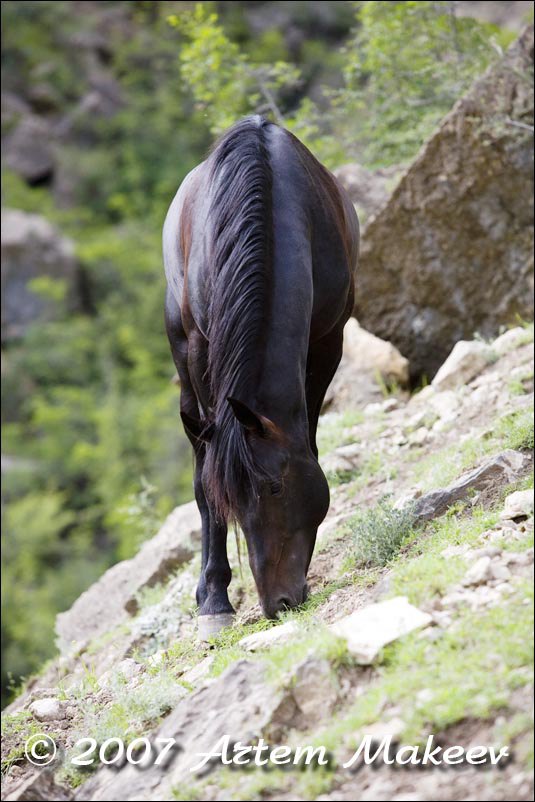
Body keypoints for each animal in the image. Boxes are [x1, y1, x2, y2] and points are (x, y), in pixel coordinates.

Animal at [163, 114, 360, 636]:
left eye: (273, 488)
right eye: (234, 501)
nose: (279, 603)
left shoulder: (329, 340)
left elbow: (310, 440)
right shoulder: (200, 349)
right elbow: (205, 479)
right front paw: (215, 602)